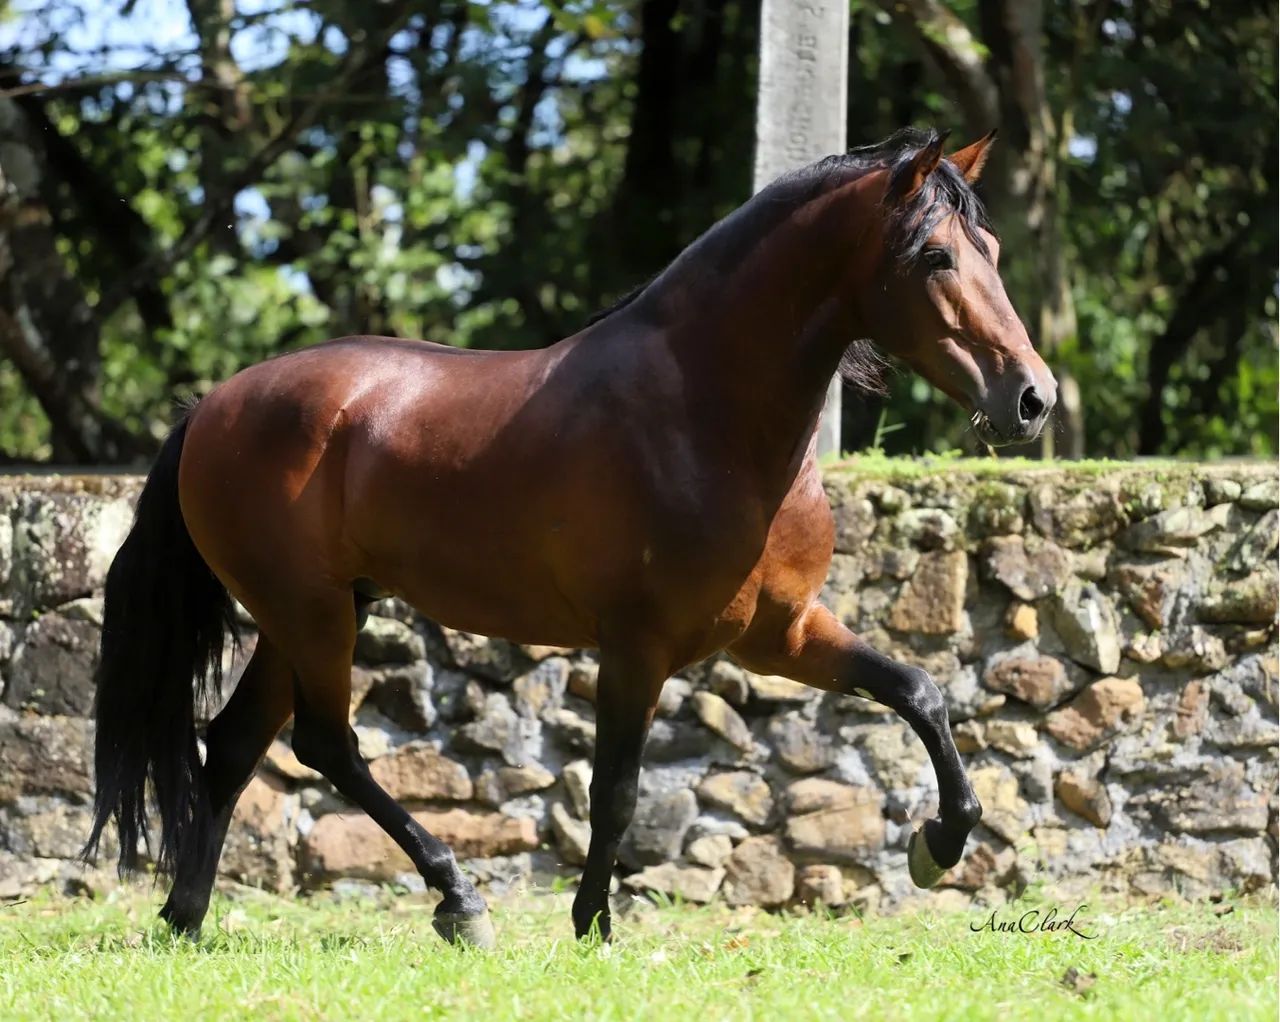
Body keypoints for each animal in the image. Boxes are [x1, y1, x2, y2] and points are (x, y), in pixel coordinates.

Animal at [84, 127, 1056, 947]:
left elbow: (919, 692)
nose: (1031, 399)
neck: (703, 413)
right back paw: (458, 901)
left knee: (233, 746)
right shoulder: (636, 646)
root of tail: (212, 405)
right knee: (324, 745)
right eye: (934, 254)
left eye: (996, 254)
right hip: (311, 614)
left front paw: (940, 842)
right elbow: (615, 792)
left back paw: (186, 917)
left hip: (307, 617)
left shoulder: (779, 635)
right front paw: (593, 925)